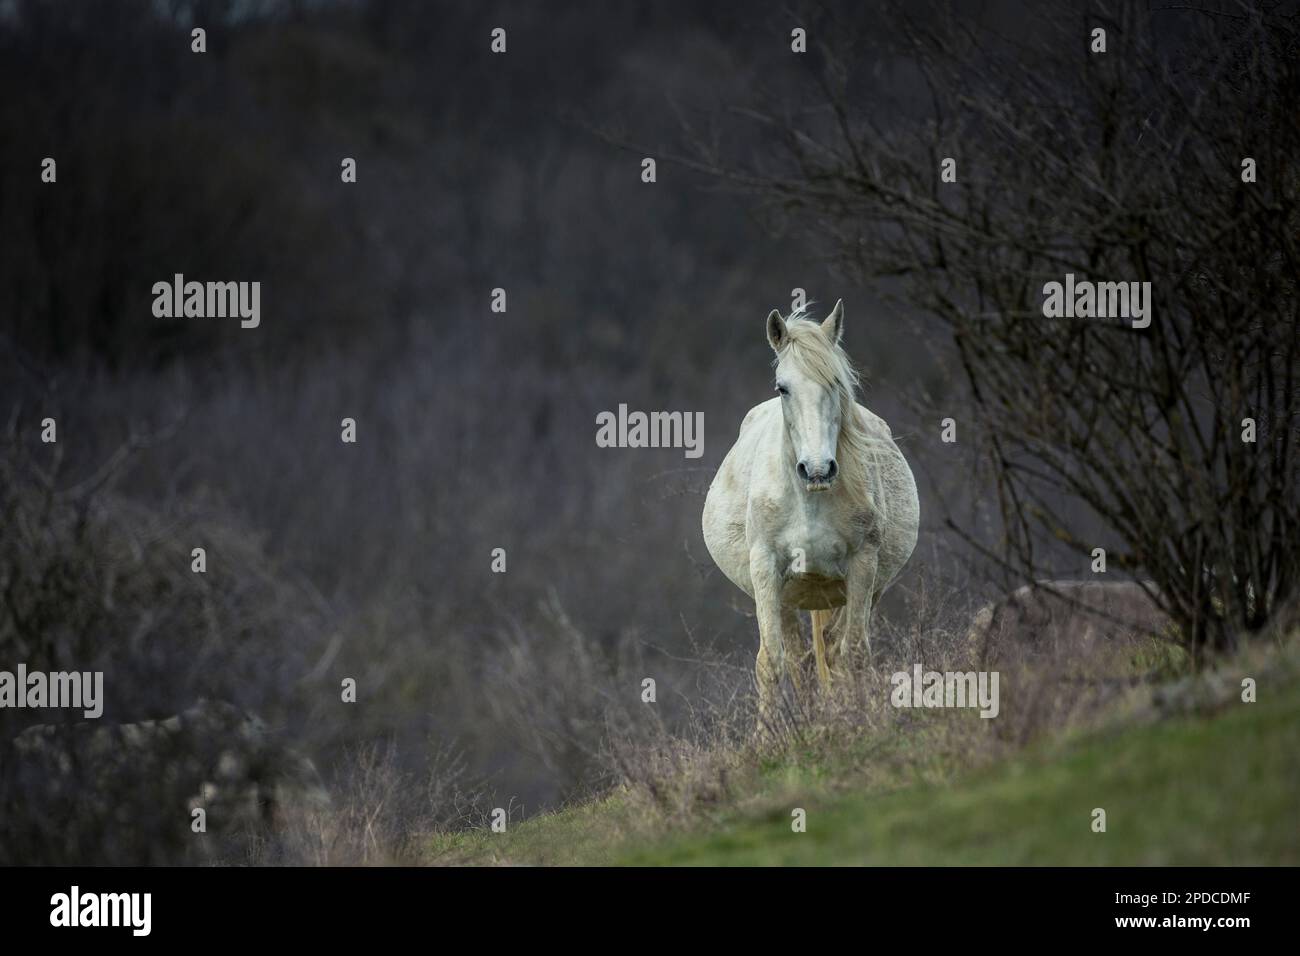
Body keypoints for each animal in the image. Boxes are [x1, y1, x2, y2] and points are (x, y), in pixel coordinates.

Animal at [707, 304, 920, 712]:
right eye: (782, 387)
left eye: (836, 383)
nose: (818, 469)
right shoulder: (766, 568)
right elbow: (771, 662)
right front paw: (770, 730)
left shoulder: (863, 566)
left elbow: (854, 653)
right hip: (786, 597)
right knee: (799, 659)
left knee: (834, 651)